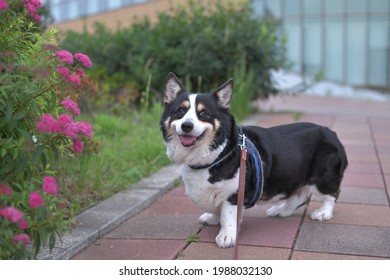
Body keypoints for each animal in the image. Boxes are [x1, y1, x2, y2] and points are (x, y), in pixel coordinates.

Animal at [160, 73, 348, 248]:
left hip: (324, 177)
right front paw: (213, 218)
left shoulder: (234, 193)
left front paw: (227, 236)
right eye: (180, 111)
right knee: (299, 195)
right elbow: (217, 210)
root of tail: (331, 133)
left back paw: (323, 213)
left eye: (203, 113)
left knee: (332, 194)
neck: (217, 154)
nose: (187, 126)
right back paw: (281, 210)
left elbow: (227, 215)